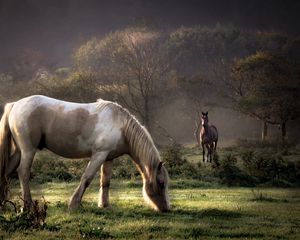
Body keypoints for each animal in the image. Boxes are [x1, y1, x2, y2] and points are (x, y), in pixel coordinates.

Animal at [0, 95, 169, 212]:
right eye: (161, 183)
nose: (166, 208)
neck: (121, 126)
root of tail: (14, 105)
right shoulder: (99, 155)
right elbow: (87, 178)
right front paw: (74, 204)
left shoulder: (108, 158)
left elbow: (105, 182)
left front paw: (104, 205)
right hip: (28, 150)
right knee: (23, 173)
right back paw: (26, 206)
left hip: (19, 151)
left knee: (7, 172)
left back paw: (3, 203)